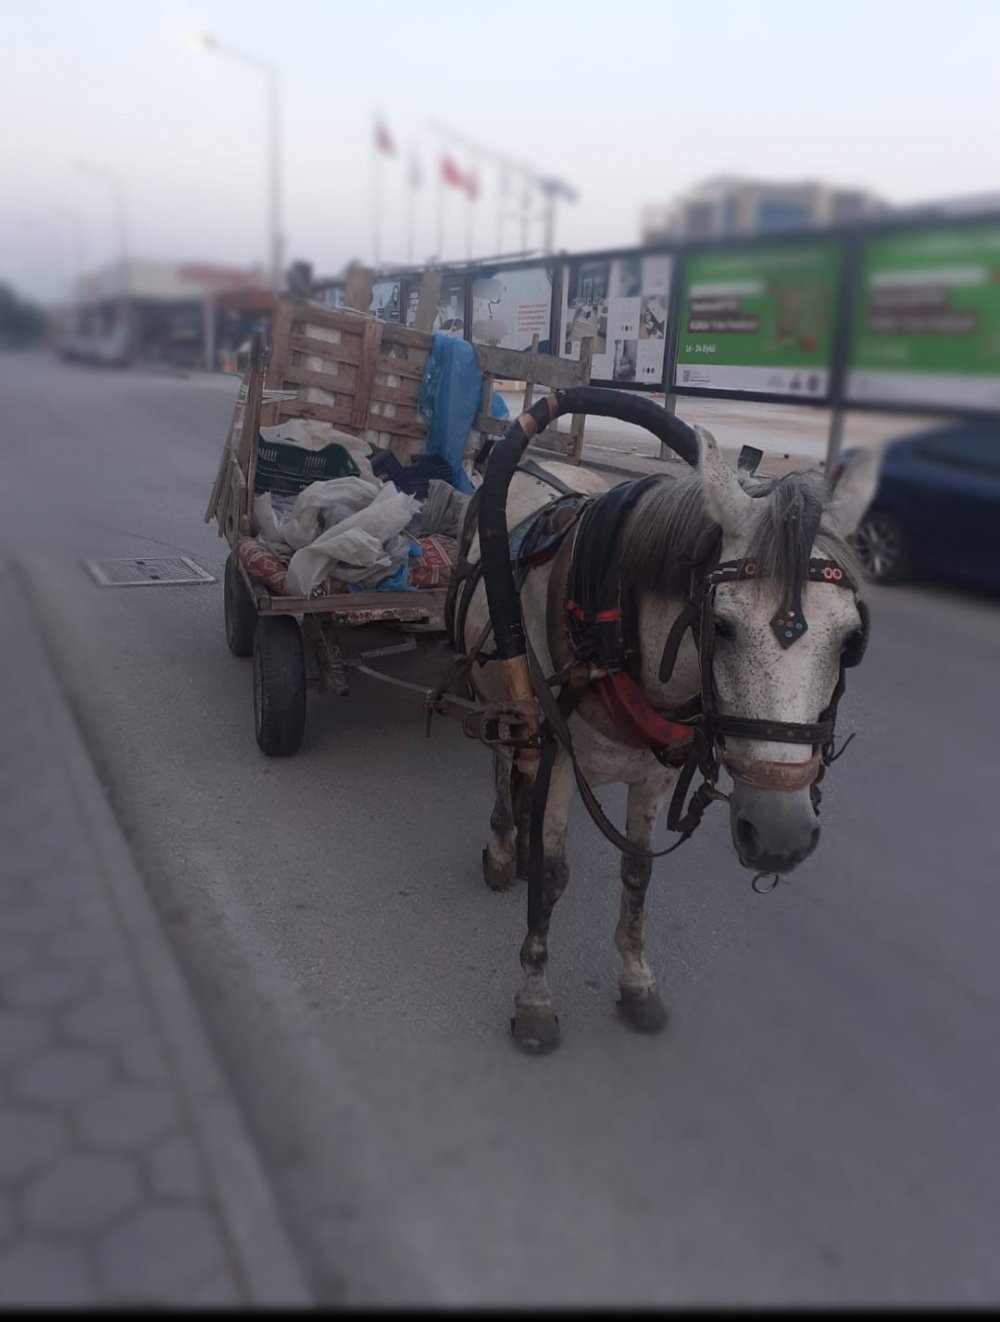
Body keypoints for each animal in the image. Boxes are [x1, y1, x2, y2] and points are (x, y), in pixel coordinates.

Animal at [460, 428, 873, 1047]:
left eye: (851, 642)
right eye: (720, 627)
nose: (781, 835)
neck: (610, 628)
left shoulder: (653, 777)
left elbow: (639, 872)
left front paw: (636, 982)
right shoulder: (562, 763)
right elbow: (556, 877)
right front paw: (534, 996)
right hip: (502, 701)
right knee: (504, 760)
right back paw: (508, 848)